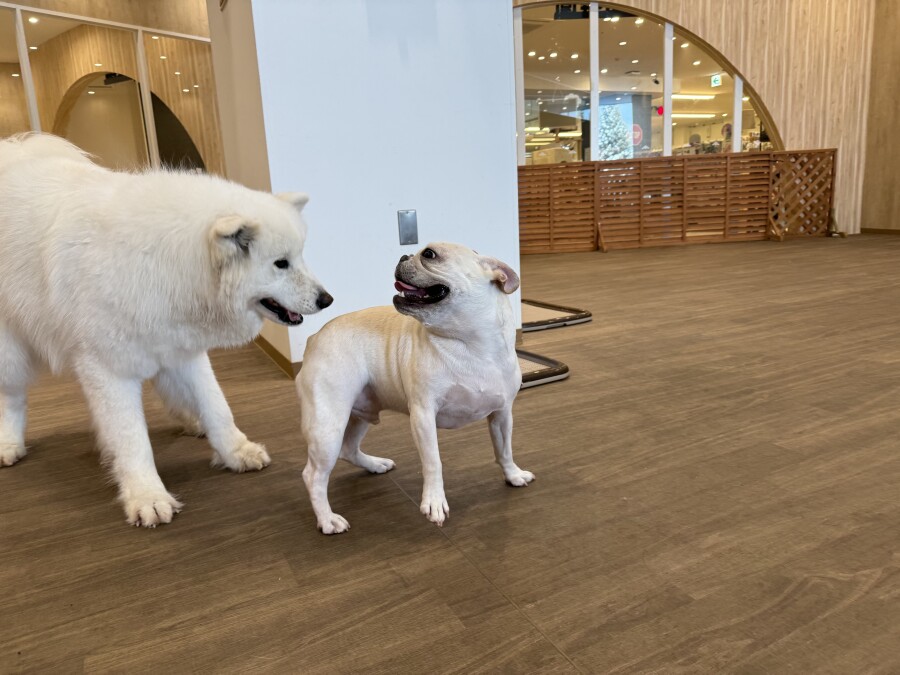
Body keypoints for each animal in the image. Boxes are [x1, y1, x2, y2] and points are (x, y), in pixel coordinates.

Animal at [0, 133, 332, 527]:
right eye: (280, 264)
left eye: (300, 257)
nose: (327, 299)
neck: (167, 261)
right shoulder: (109, 370)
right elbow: (131, 438)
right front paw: (147, 496)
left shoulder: (183, 351)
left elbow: (216, 405)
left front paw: (235, 452)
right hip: (10, 353)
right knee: (12, 398)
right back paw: (9, 444)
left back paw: (191, 421)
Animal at [296, 242, 533, 534]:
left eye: (430, 254)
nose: (403, 255)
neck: (470, 344)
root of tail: (315, 338)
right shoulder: (423, 416)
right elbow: (433, 462)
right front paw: (434, 502)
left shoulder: (502, 415)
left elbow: (504, 449)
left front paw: (513, 474)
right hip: (328, 426)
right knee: (314, 475)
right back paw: (327, 519)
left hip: (358, 415)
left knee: (348, 449)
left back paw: (375, 465)